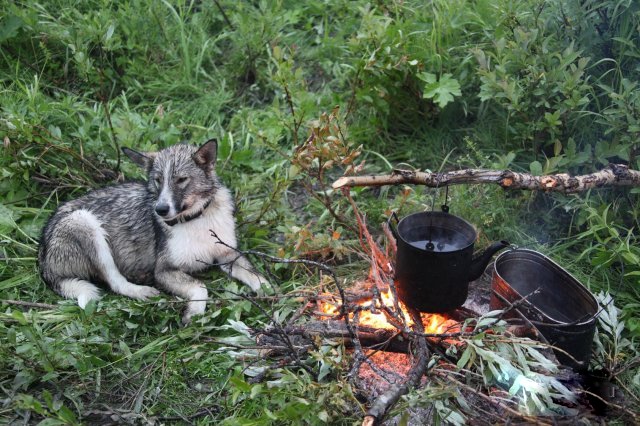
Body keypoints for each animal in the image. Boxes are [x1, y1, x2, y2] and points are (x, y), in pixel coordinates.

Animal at [38, 139, 267, 323]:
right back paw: (142, 290)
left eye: (181, 180)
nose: (160, 209)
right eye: (158, 180)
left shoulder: (228, 255)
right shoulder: (164, 270)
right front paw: (194, 313)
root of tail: (43, 258)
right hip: (85, 223)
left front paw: (272, 298)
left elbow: (259, 278)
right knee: (114, 282)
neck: (196, 218)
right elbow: (200, 286)